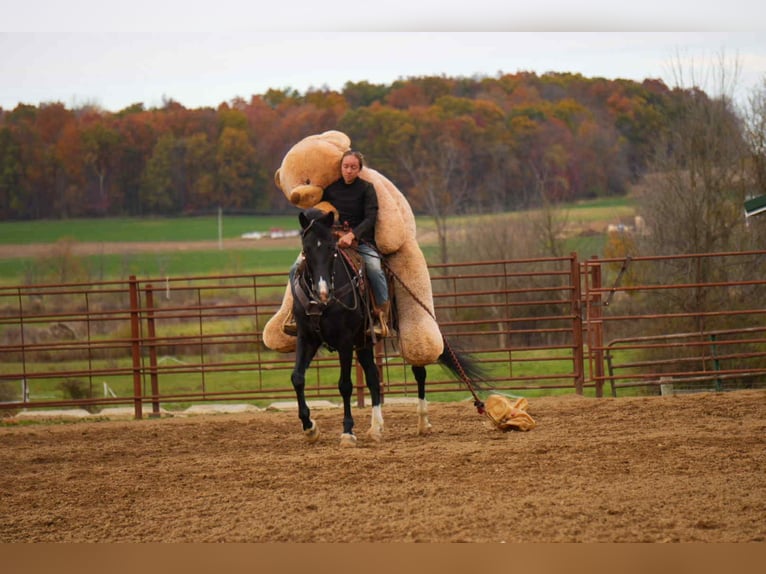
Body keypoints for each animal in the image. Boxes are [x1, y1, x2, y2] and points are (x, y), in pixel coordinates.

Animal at [289, 207, 487, 447]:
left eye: (332, 248)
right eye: (306, 249)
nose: (323, 291)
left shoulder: (344, 342)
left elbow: (345, 385)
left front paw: (347, 432)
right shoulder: (307, 337)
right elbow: (298, 378)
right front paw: (310, 427)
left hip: (403, 329)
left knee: (418, 371)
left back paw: (423, 423)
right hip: (363, 342)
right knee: (374, 378)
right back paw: (376, 428)